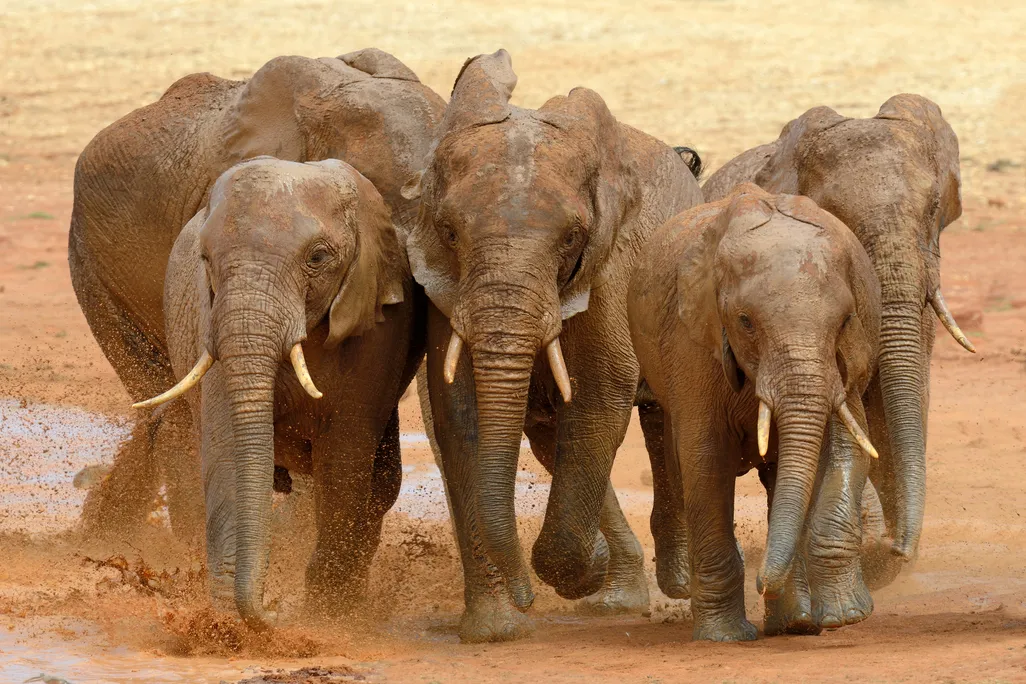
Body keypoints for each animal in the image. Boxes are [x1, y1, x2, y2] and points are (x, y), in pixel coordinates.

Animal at [134, 156, 417, 628]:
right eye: (206, 259)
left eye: (318, 258)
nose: (273, 609)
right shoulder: (211, 322)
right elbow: (227, 448)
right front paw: (226, 626)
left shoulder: (377, 327)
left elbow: (345, 457)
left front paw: (325, 614)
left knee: (380, 484)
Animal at [400, 49, 705, 642]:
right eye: (449, 233)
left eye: (571, 239)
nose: (524, 599)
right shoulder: (446, 288)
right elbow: (459, 409)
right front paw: (498, 627)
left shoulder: (610, 266)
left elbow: (602, 390)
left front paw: (579, 569)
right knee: (551, 439)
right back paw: (615, 597)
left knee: (663, 418)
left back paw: (677, 582)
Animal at [629, 183, 883, 640]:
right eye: (745, 321)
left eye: (845, 320)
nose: (763, 582)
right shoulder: (692, 342)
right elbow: (705, 458)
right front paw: (724, 637)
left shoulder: (848, 359)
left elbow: (848, 447)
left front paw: (845, 616)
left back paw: (796, 622)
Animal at [702, 94, 974, 585]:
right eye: (834, 217)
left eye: (933, 209)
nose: (900, 549)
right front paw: (877, 549)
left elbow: (897, 401)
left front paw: (887, 555)